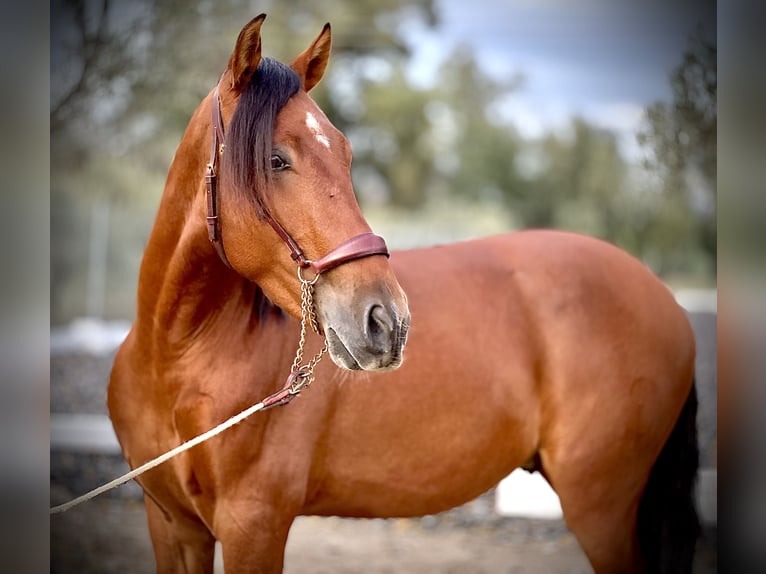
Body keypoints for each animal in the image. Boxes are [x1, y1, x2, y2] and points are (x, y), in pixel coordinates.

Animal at [106, 13, 704, 574]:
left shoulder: (253, 525)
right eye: (275, 159)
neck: (177, 360)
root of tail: (666, 299)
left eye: (346, 155)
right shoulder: (172, 525)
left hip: (600, 509)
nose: (385, 321)